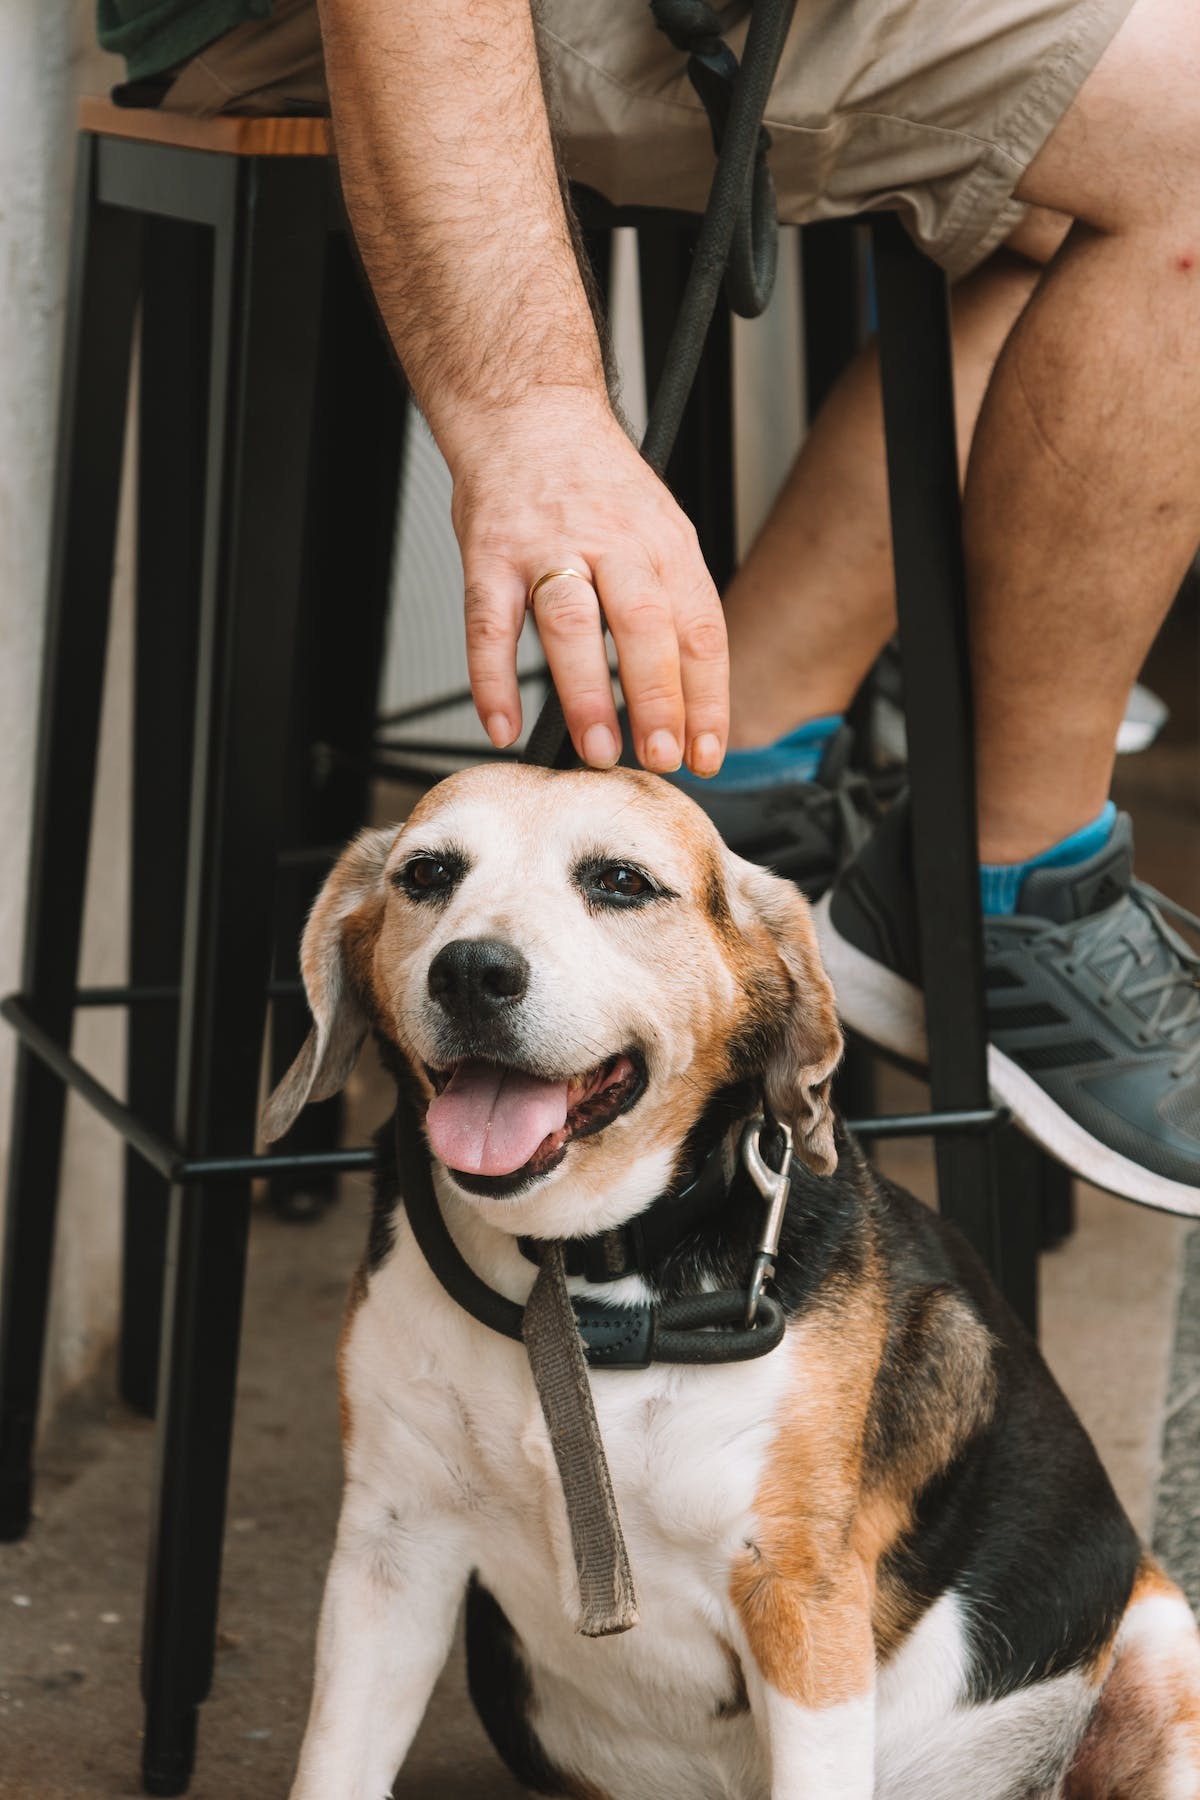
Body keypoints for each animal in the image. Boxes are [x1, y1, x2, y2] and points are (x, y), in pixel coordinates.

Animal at [268, 763, 1200, 1800]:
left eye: (622, 882)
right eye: (427, 873)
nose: (471, 971)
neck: (577, 1275)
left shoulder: (795, 1595)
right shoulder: (391, 1555)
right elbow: (335, 1764)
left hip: (1165, 1655)